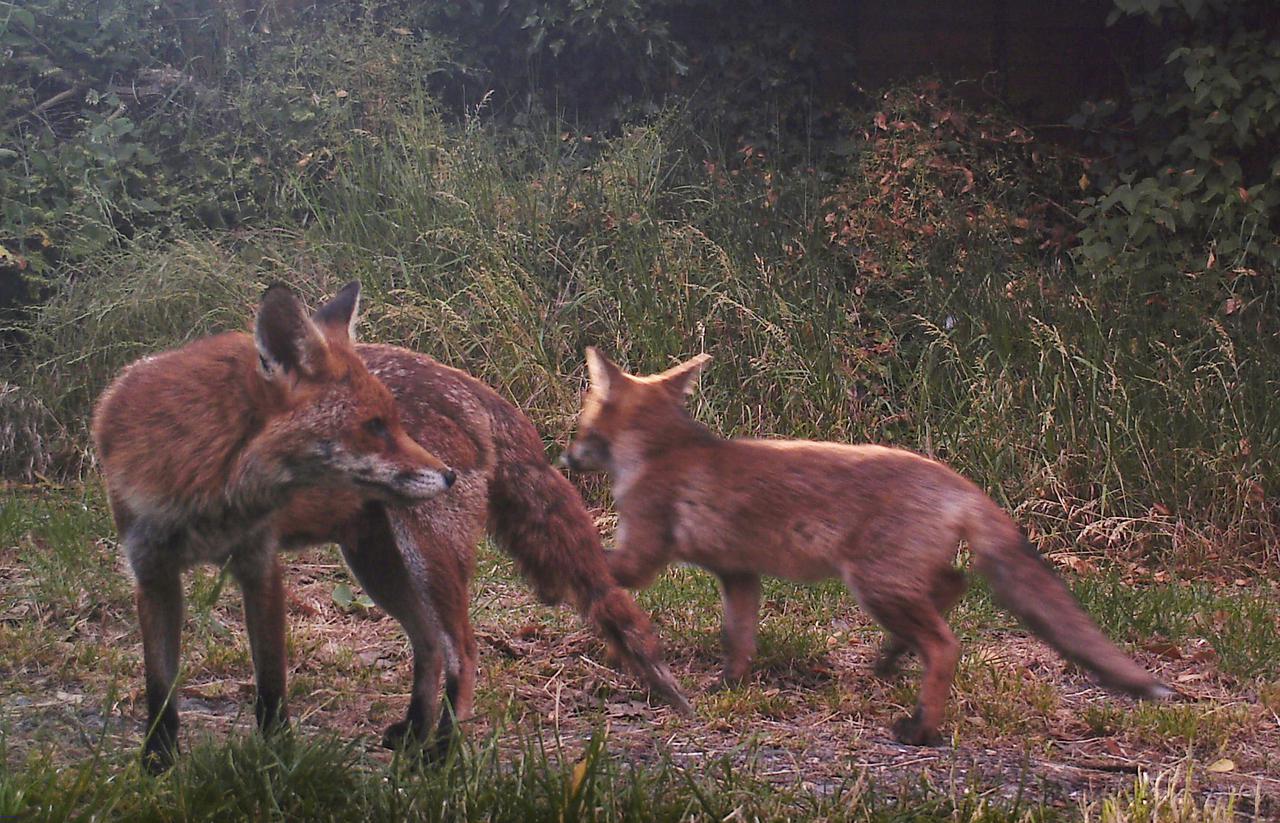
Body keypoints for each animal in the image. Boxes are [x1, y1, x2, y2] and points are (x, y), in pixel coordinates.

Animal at [561, 348, 1176, 746]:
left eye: (579, 425)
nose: (565, 459)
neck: (661, 451)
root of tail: (961, 483)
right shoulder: (739, 574)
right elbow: (739, 638)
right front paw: (727, 686)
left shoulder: (643, 553)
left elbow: (595, 565)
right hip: (897, 581)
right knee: (953, 587)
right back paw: (892, 657)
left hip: (874, 584)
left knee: (946, 644)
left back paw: (921, 728)